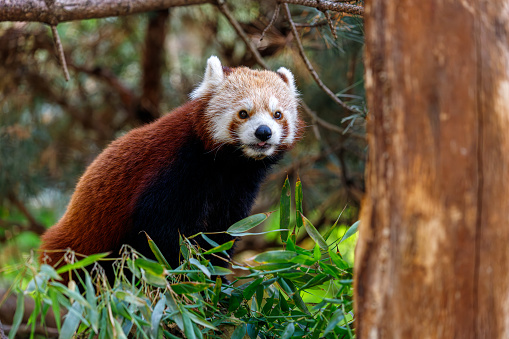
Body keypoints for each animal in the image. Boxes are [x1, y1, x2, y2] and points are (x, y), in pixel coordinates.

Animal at [40, 55, 302, 278]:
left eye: (277, 114)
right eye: (243, 113)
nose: (264, 132)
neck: (226, 167)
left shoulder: (238, 190)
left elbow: (223, 234)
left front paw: (214, 276)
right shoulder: (173, 172)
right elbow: (158, 235)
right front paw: (184, 271)